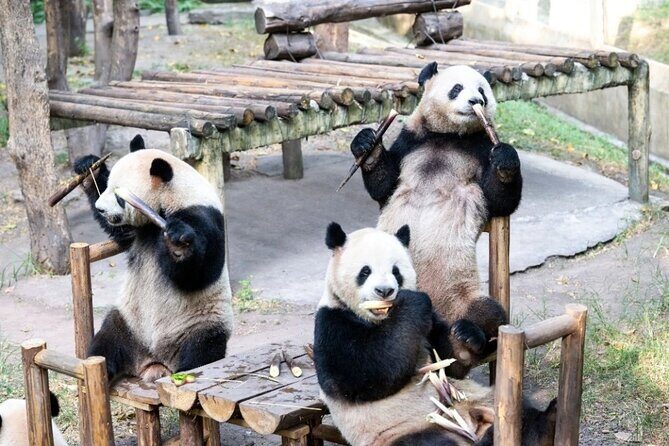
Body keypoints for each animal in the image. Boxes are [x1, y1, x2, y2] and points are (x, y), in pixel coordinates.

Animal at [74, 135, 233, 383]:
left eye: (120, 198)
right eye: (107, 186)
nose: (100, 209)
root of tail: (154, 362)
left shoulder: (204, 216)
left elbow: (201, 272)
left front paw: (177, 244)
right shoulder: (137, 230)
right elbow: (120, 232)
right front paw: (89, 168)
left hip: (201, 323)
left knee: (201, 351)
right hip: (128, 323)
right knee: (106, 342)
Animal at [314, 223, 556, 446]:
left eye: (395, 271)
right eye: (365, 271)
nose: (385, 291)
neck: (381, 319)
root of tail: (472, 424)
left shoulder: (431, 322)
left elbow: (451, 365)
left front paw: (467, 335)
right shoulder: (332, 323)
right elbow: (362, 376)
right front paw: (411, 303)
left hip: (484, 398)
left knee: (521, 409)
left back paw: (545, 424)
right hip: (407, 429)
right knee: (429, 442)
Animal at [350, 63, 522, 376]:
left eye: (482, 90)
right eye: (457, 88)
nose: (476, 102)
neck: (451, 136)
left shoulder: (481, 148)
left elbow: (500, 200)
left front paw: (505, 159)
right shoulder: (411, 141)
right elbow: (385, 184)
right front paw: (366, 142)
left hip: (463, 293)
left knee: (490, 314)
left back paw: (470, 336)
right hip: (373, 298)